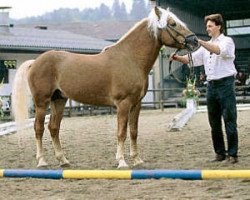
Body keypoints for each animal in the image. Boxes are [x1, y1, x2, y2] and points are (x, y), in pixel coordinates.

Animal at [11, 6, 199, 169]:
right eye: (173, 24)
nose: (194, 40)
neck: (130, 58)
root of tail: (35, 61)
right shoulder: (123, 104)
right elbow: (121, 132)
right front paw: (122, 161)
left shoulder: (136, 104)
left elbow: (133, 131)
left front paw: (137, 160)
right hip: (42, 103)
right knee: (39, 129)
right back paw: (42, 161)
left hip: (59, 100)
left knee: (53, 128)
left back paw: (63, 160)